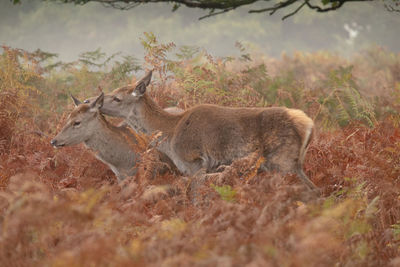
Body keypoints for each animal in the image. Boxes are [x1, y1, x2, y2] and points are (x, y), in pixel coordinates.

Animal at [92, 70, 318, 192]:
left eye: (117, 98)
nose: (97, 102)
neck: (171, 134)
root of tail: (307, 124)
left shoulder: (193, 162)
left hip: (285, 161)